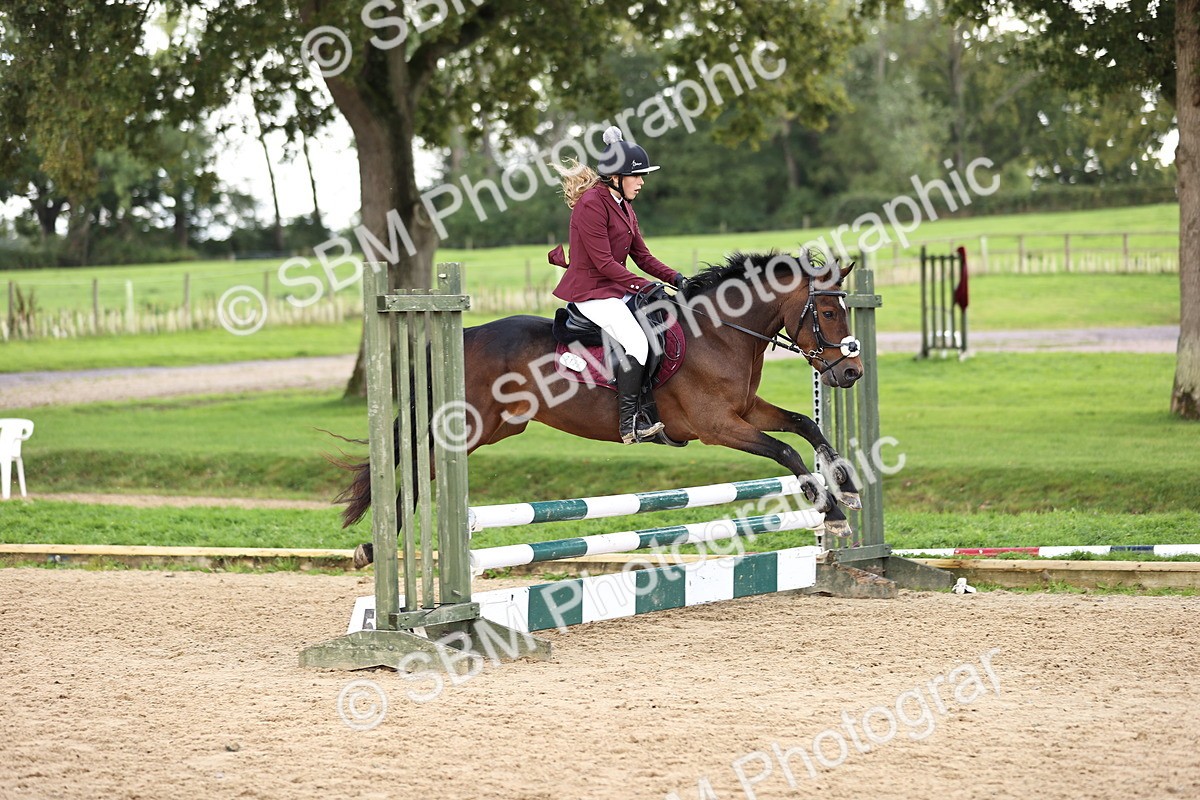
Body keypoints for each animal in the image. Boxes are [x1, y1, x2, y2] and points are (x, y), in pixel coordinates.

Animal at [338, 249, 866, 566]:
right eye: (827, 312)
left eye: (845, 309)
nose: (851, 374)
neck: (720, 333)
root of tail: (462, 335)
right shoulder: (717, 426)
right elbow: (786, 451)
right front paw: (829, 509)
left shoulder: (747, 409)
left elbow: (805, 426)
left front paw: (848, 487)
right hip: (467, 428)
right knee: (416, 466)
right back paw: (371, 547)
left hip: (497, 428)